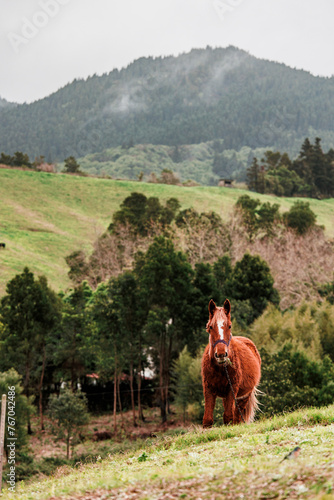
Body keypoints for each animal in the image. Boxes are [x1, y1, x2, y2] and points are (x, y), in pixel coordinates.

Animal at [201, 298, 260, 428]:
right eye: (211, 327)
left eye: (229, 326)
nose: (221, 354)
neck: (220, 369)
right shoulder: (208, 390)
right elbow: (207, 420)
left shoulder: (231, 390)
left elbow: (228, 417)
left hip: (243, 397)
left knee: (237, 417)